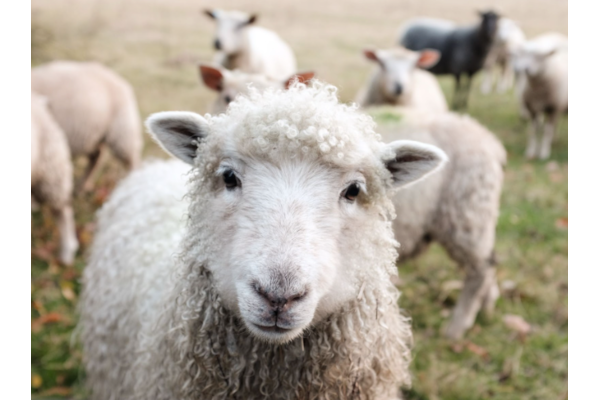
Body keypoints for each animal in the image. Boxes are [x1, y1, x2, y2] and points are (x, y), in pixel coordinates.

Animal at [31, 60, 142, 191]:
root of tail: (119, 79)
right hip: (93, 136)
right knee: (96, 157)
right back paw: (83, 185)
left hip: (122, 131)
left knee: (131, 160)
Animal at [376, 108, 506, 340]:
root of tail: (492, 142)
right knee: (489, 261)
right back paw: (488, 306)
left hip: (466, 213)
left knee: (481, 269)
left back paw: (457, 327)